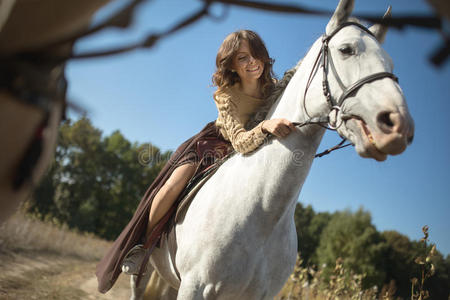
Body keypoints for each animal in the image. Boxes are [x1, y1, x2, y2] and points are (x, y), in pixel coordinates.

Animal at [131, 1, 414, 298]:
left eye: (390, 62)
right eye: (346, 49)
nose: (398, 125)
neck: (264, 211)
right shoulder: (195, 286)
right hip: (145, 276)